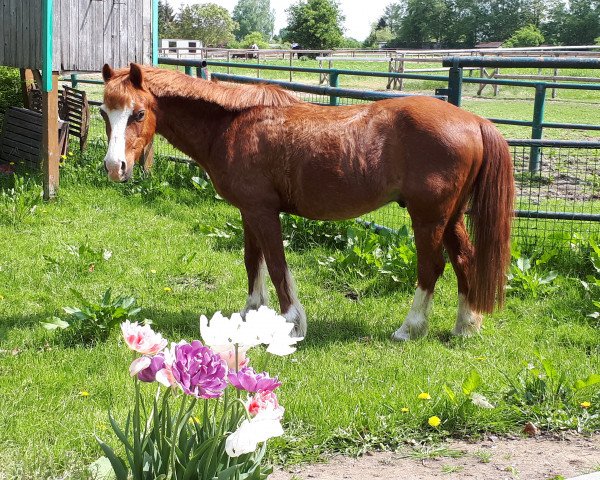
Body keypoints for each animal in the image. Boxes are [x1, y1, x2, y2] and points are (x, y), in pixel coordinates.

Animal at [101, 63, 512, 342]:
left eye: (139, 113)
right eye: (106, 113)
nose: (114, 167)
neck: (232, 125)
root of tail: (473, 120)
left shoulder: (264, 211)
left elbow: (277, 266)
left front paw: (291, 323)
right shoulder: (249, 211)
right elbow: (253, 261)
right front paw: (252, 312)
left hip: (428, 218)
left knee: (432, 267)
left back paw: (409, 328)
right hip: (451, 217)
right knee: (465, 260)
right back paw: (465, 325)